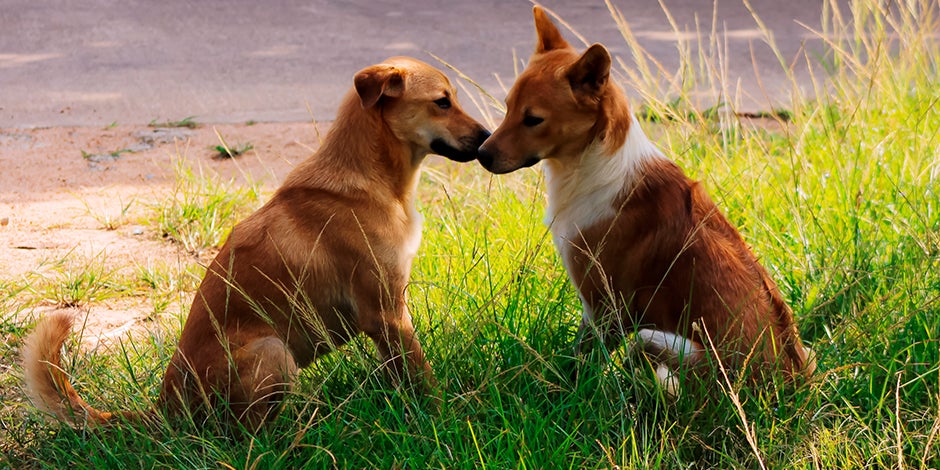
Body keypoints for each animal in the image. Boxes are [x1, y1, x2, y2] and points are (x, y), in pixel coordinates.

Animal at [24, 57, 488, 428]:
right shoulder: (388, 315)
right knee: (247, 434)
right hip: (273, 351)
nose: (487, 138)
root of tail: (166, 406)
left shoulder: (387, 318)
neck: (370, 178)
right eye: (442, 101)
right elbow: (422, 376)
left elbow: (402, 376)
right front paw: (444, 415)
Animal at [482, 8, 812, 390]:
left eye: (533, 119)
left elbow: (580, 362)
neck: (594, 164)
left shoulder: (604, 307)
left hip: (653, 340)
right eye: (507, 107)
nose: (481, 154)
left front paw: (567, 390)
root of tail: (789, 387)